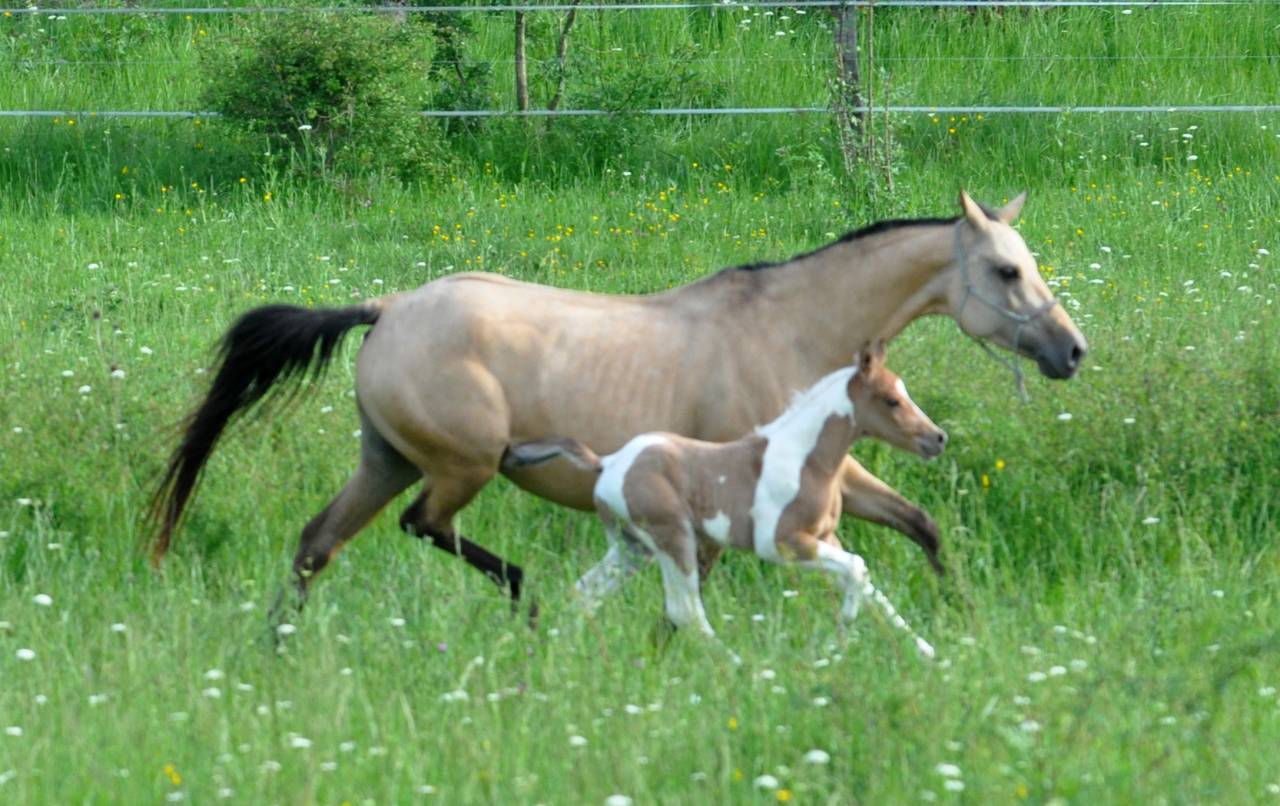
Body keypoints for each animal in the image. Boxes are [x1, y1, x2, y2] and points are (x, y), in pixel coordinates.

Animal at [150, 191, 1085, 618]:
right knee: (427, 525)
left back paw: (279, 645)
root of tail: (386, 308)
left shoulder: (835, 476)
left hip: (383, 460)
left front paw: (964, 616)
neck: (790, 327)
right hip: (461, 464)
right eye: (1006, 270)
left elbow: (922, 525)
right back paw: (525, 597)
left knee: (317, 544)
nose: (1071, 351)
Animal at [502, 342, 944, 660]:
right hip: (673, 537)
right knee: (685, 610)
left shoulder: (824, 538)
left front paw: (927, 651)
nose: (937, 438)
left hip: (631, 549)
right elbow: (857, 567)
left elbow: (866, 582)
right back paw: (738, 666)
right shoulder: (779, 543)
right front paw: (846, 629)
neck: (806, 457)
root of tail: (609, 462)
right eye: (891, 400)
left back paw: (561, 648)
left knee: (584, 592)